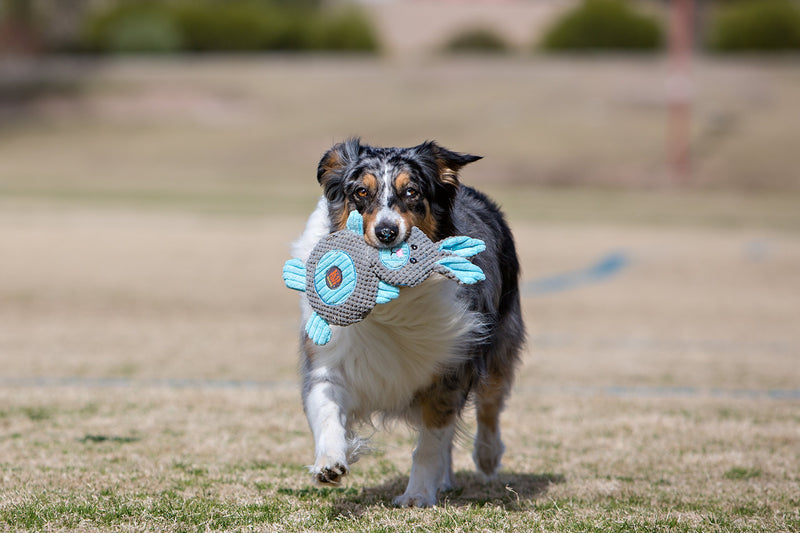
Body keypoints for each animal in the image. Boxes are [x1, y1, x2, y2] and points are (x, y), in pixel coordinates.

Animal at [290, 138, 524, 508]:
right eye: (360, 192)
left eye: (412, 192)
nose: (387, 233)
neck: (393, 302)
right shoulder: (329, 358)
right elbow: (326, 410)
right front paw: (329, 462)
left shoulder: (449, 367)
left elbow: (430, 443)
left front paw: (416, 495)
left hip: (499, 343)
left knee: (489, 406)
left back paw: (487, 456)